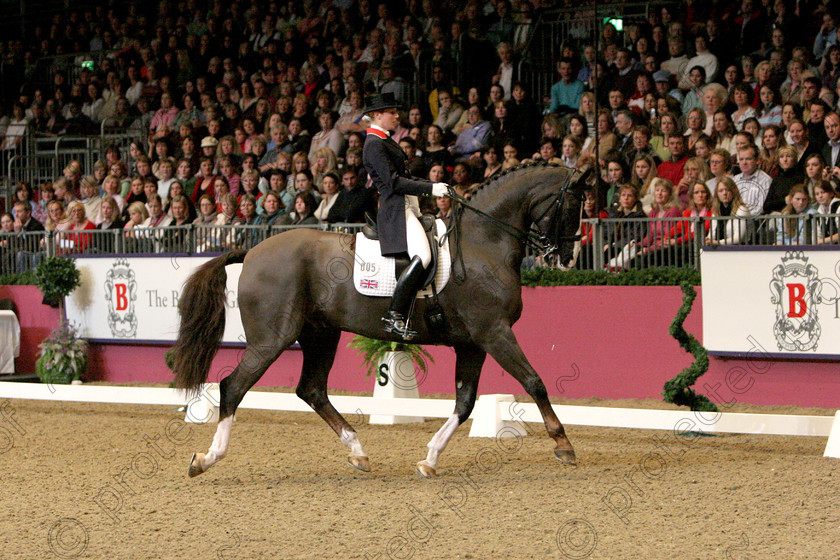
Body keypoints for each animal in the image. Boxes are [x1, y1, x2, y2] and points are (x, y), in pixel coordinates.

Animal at [171, 161, 592, 476]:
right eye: (573, 205)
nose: (564, 255)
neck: (483, 241)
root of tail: (253, 251)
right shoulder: (494, 333)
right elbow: (534, 382)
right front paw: (564, 445)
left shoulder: (472, 342)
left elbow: (466, 402)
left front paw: (430, 458)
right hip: (272, 338)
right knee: (233, 387)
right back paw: (206, 459)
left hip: (320, 334)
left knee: (311, 390)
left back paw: (358, 451)